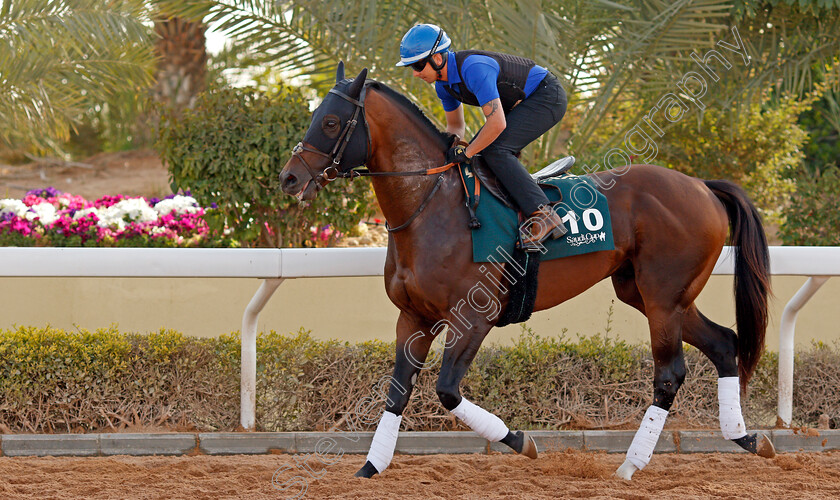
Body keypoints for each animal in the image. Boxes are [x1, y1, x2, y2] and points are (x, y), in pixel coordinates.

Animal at [280, 65, 776, 480]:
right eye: (315, 115)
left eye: (330, 122)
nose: (289, 178)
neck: (432, 208)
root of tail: (702, 186)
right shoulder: (413, 317)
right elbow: (398, 391)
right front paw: (371, 467)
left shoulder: (473, 317)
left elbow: (446, 391)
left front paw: (522, 441)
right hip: (652, 294)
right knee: (724, 343)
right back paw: (747, 438)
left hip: (663, 298)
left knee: (670, 374)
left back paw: (630, 466)